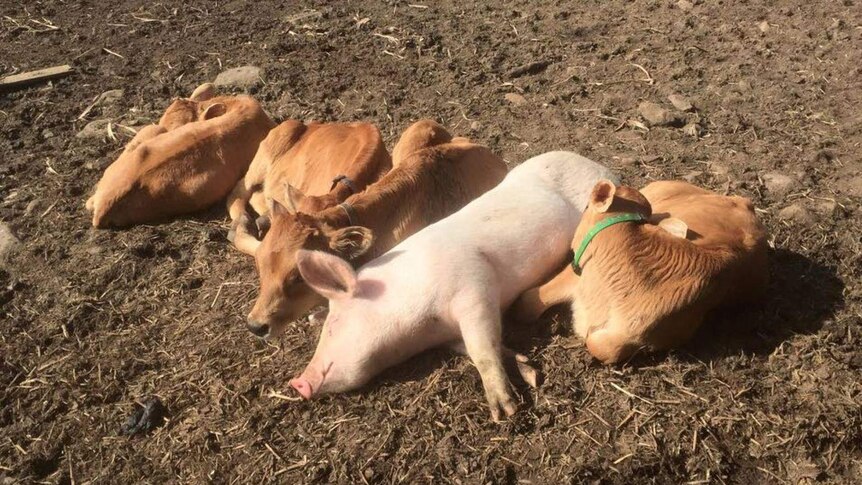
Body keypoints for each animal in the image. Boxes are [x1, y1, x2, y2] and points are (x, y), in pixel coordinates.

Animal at [292, 151, 620, 420]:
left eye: (333, 326)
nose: (298, 383)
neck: (423, 329)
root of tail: (601, 167)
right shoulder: (449, 334)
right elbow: (480, 348)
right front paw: (528, 370)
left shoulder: (475, 286)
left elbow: (482, 347)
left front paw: (505, 410)